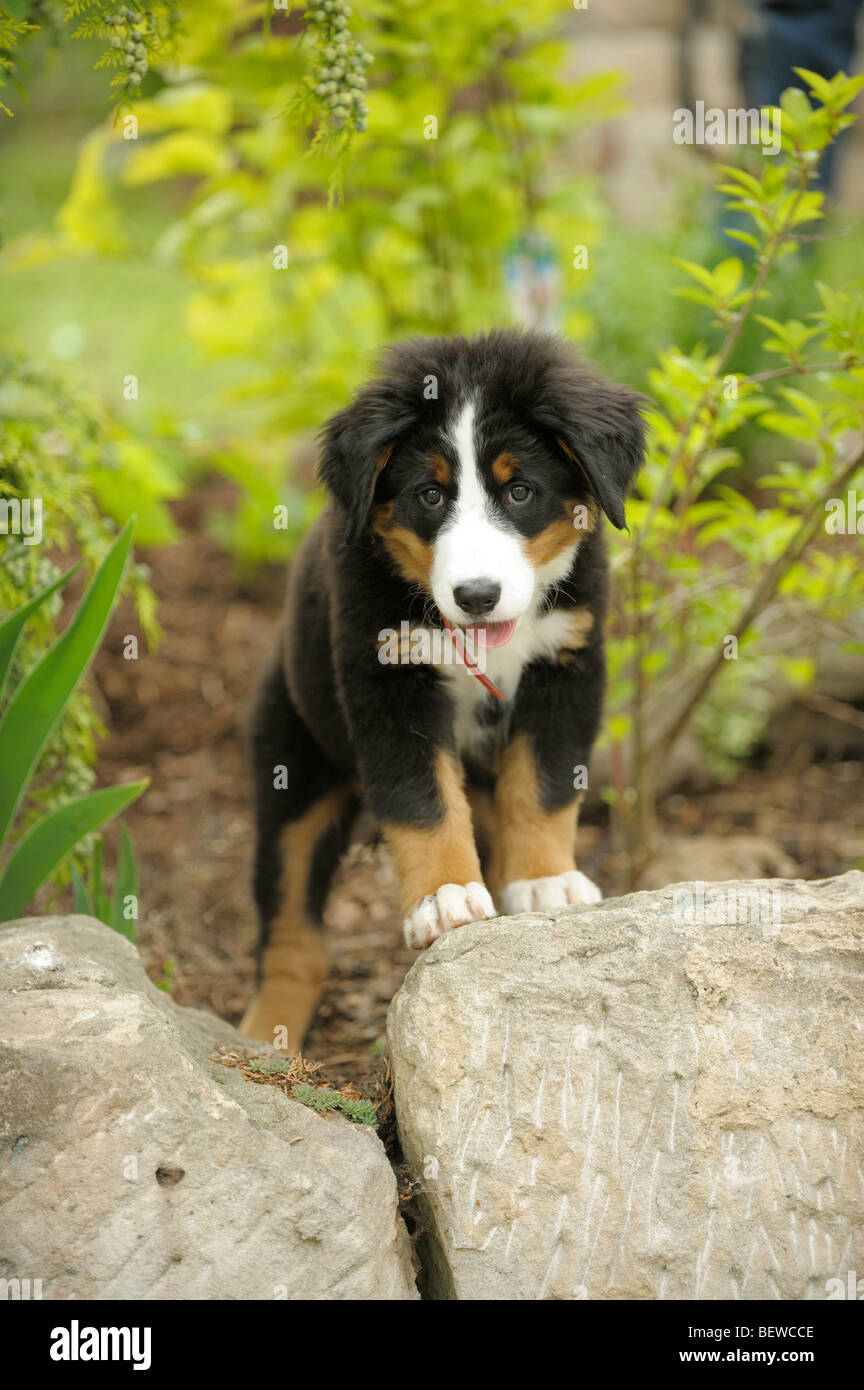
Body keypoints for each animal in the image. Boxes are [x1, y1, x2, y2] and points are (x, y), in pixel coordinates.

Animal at [240, 328, 647, 1045]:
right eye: (429, 496)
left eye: (520, 493)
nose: (477, 595)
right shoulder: (385, 681)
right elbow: (421, 801)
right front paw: (444, 895)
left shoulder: (567, 666)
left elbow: (542, 787)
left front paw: (544, 881)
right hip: (295, 766)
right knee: (291, 931)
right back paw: (267, 1034)